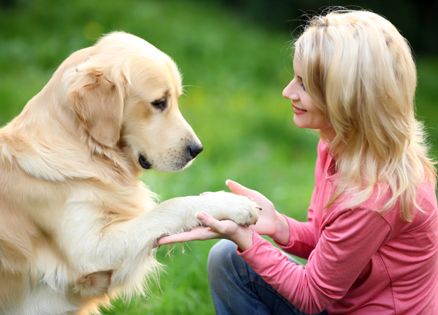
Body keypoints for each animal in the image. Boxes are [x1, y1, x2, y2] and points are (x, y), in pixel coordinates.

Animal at [0, 32, 258, 315]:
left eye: (176, 99)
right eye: (159, 103)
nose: (196, 149)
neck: (86, 150)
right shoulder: (89, 251)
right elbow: (171, 206)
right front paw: (232, 203)